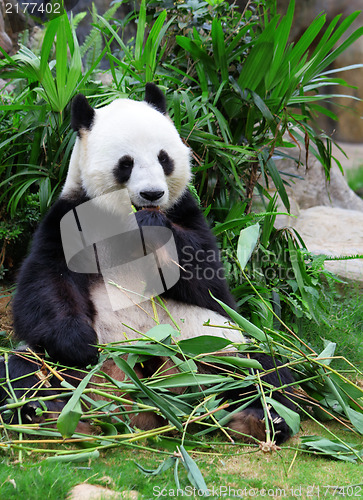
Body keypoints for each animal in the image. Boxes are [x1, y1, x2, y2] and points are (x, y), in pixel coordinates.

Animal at [0, 84, 296, 444]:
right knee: (25, 371)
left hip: (218, 345)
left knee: (264, 368)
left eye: (163, 158)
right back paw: (49, 415)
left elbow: (209, 282)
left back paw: (259, 419)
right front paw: (80, 343)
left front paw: (154, 227)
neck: (124, 219)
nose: (152, 194)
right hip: (70, 369)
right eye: (125, 163)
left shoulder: (186, 212)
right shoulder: (69, 218)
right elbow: (47, 284)